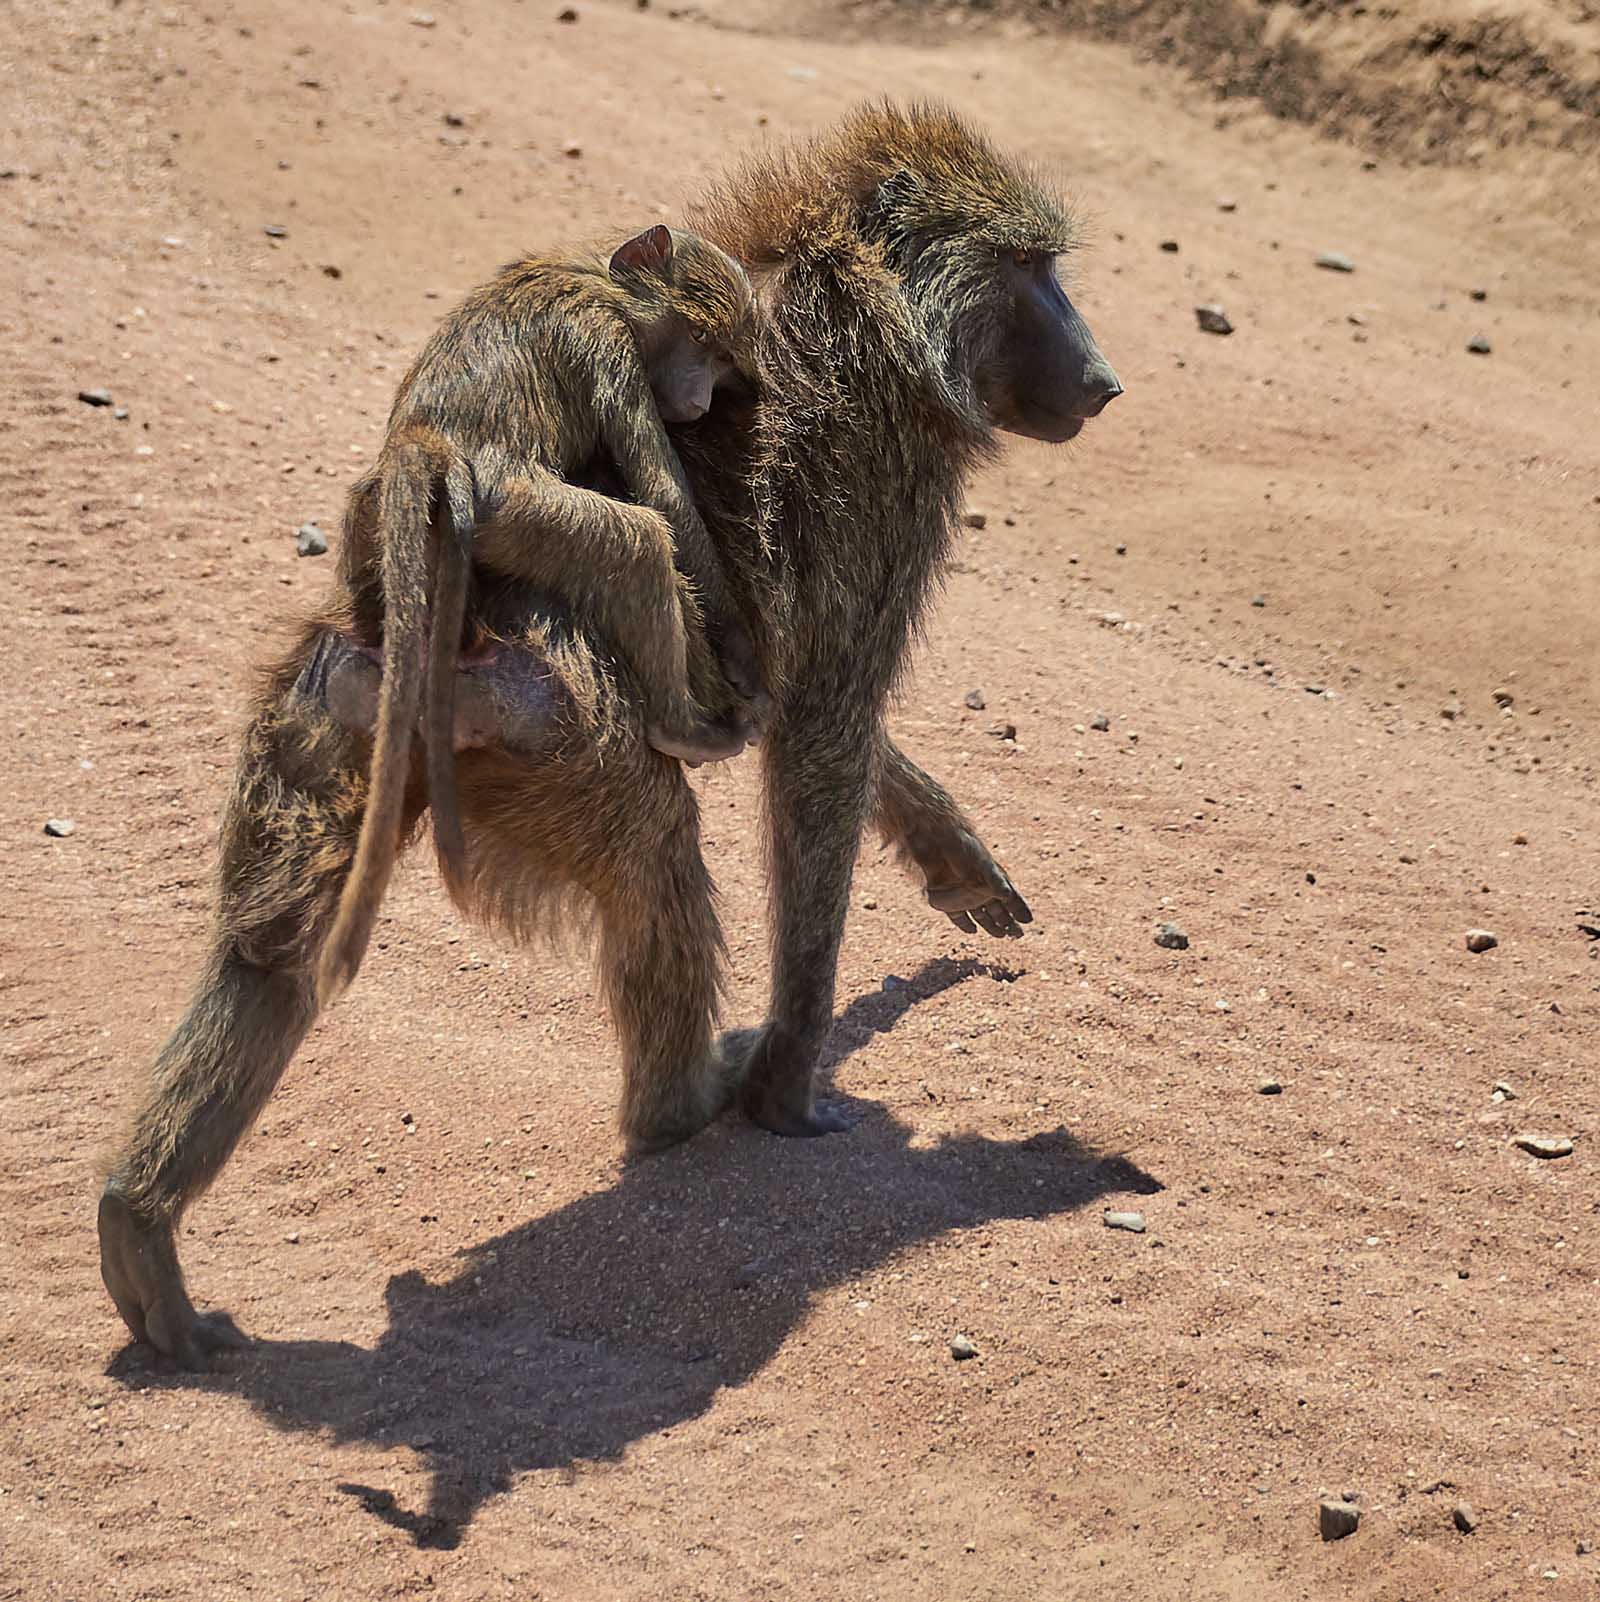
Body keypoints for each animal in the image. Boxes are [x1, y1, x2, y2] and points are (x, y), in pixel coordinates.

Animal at [319, 223, 767, 1003]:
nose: (700, 402)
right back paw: (681, 728)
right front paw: (741, 656)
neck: (595, 276)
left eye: (722, 360)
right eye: (703, 345)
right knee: (637, 541)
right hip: (512, 509)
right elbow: (664, 495)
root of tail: (424, 440)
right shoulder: (606, 344)